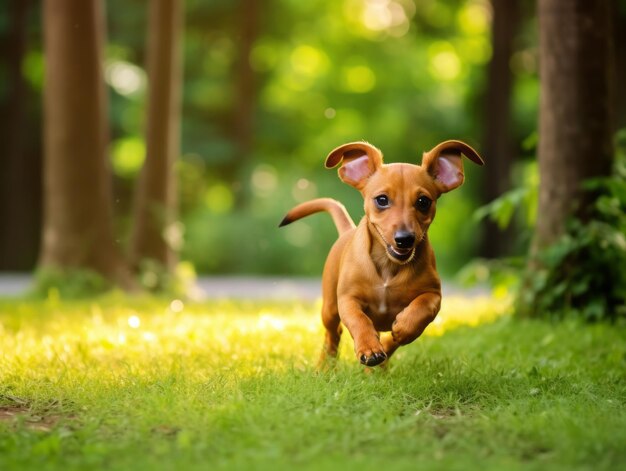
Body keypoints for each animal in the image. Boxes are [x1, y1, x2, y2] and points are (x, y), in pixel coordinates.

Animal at [278, 141, 482, 368]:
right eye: (382, 200)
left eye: (423, 201)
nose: (404, 239)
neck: (388, 265)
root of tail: (346, 231)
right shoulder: (348, 299)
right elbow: (359, 320)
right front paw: (369, 348)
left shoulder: (434, 294)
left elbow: (421, 309)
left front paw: (402, 329)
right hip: (330, 307)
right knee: (333, 332)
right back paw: (325, 367)